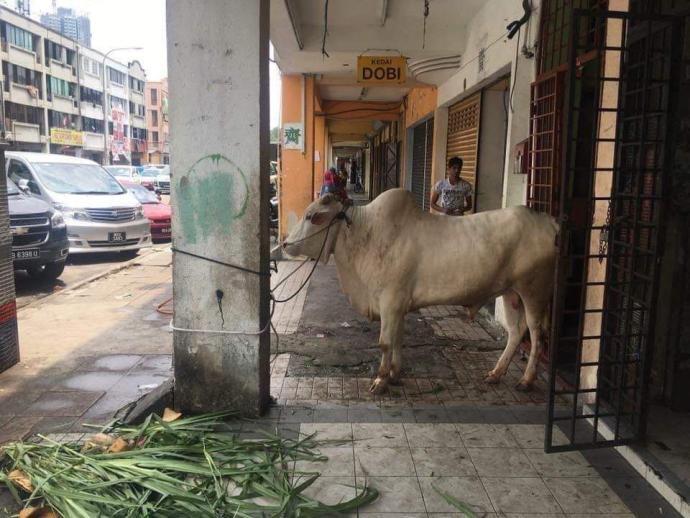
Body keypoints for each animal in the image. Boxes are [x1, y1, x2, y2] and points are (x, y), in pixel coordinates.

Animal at [282, 190, 556, 394]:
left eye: (311, 216)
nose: (284, 244)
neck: (364, 232)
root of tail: (547, 221)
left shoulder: (390, 302)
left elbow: (385, 342)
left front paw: (380, 380)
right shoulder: (397, 307)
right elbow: (397, 340)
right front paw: (394, 373)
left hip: (534, 291)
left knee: (537, 335)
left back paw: (526, 380)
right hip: (511, 293)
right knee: (516, 332)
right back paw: (496, 373)